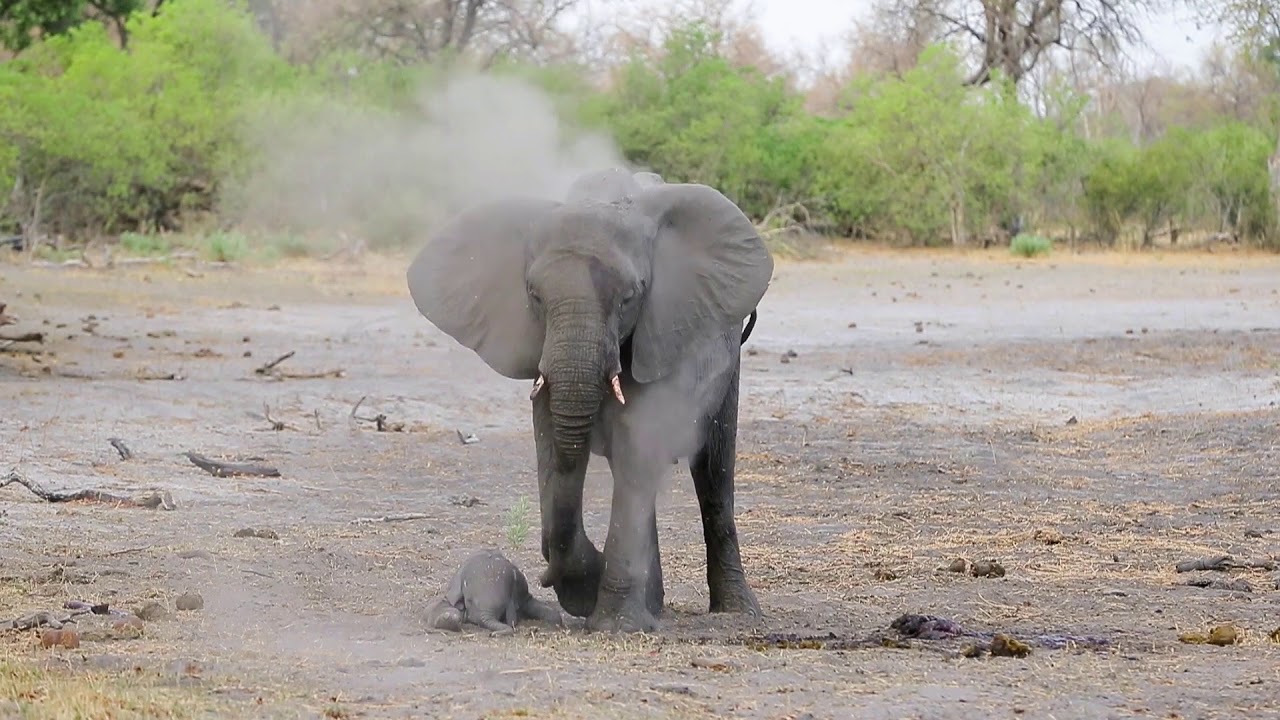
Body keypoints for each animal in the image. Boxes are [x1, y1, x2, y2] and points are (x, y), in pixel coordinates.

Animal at [406, 168, 774, 633]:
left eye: (630, 296)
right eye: (534, 295)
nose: (545, 575)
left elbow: (639, 436)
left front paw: (613, 622)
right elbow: (551, 438)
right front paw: (589, 592)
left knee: (713, 470)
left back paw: (736, 613)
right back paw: (653, 605)